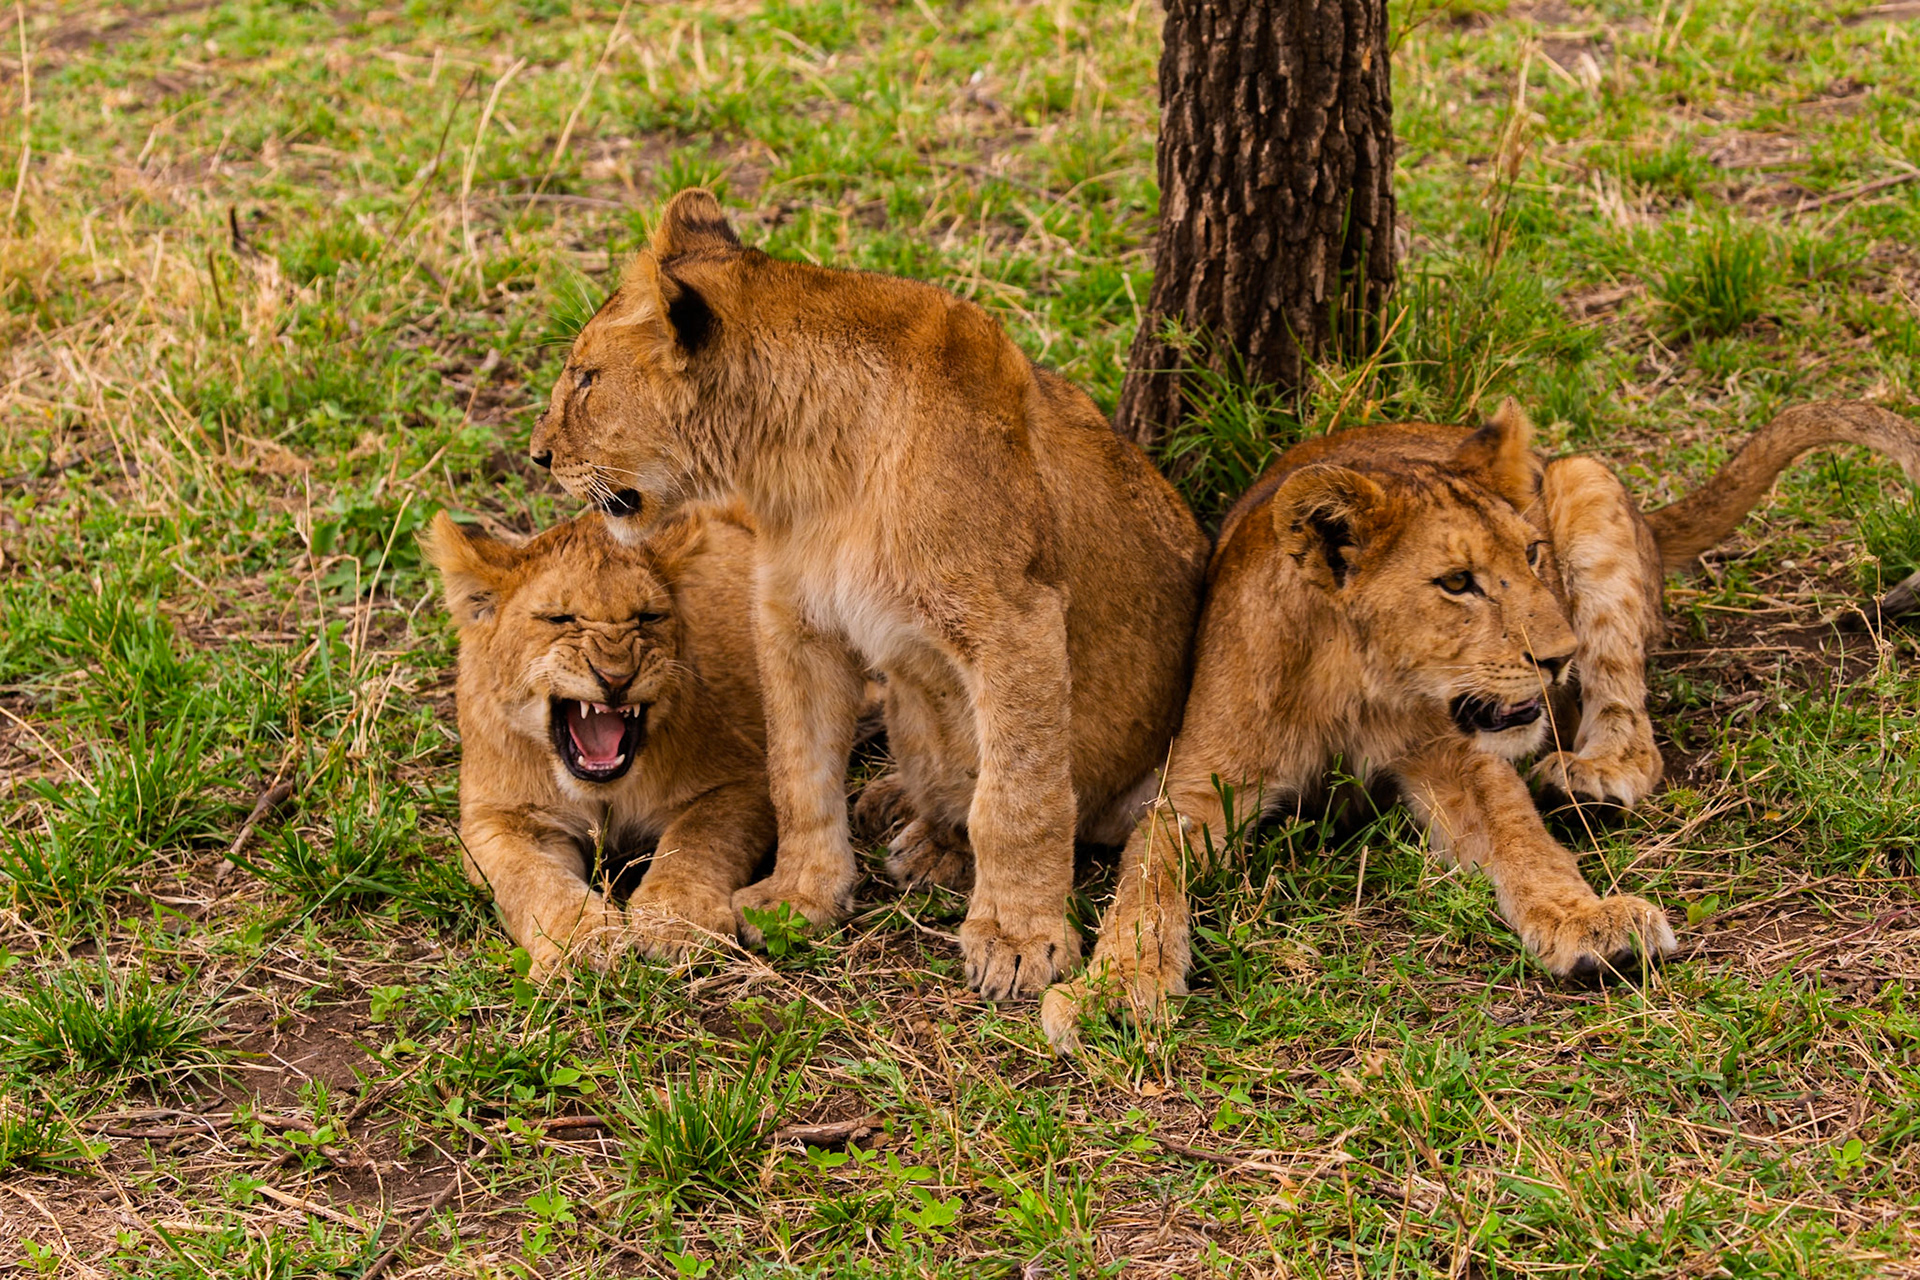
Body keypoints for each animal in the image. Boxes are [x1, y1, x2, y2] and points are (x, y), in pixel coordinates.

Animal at [421, 505, 774, 978]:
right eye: (559, 618)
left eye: (648, 617)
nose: (616, 677)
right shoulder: (497, 819)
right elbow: (532, 878)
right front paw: (582, 942)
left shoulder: (744, 781)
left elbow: (698, 841)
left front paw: (676, 922)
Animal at [527, 189, 1210, 999]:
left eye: (587, 378)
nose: (538, 455)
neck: (808, 460)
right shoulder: (796, 621)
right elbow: (798, 771)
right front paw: (801, 895)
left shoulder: (1018, 621)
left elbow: (1020, 795)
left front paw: (1017, 939)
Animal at [1042, 398, 1920, 1051]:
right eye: (1457, 582)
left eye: (1531, 555)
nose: (1557, 657)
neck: (1356, 684)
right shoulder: (1195, 789)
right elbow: (1146, 882)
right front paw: (1115, 986)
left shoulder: (1458, 758)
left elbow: (1525, 844)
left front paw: (1589, 920)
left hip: (1586, 480)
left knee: (1630, 722)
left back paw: (1592, 777)